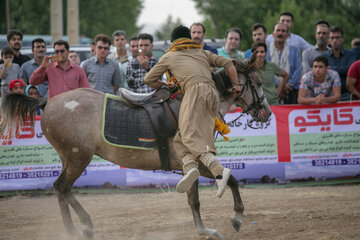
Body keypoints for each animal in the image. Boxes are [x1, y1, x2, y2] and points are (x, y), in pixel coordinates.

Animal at [0, 59, 270, 239]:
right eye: (257, 83)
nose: (266, 112)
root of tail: (48, 102)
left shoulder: (190, 166)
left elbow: (195, 199)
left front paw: (204, 229)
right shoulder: (197, 162)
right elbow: (229, 180)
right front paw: (235, 217)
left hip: (70, 158)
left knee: (60, 188)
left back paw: (75, 228)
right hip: (78, 158)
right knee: (62, 187)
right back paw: (81, 227)